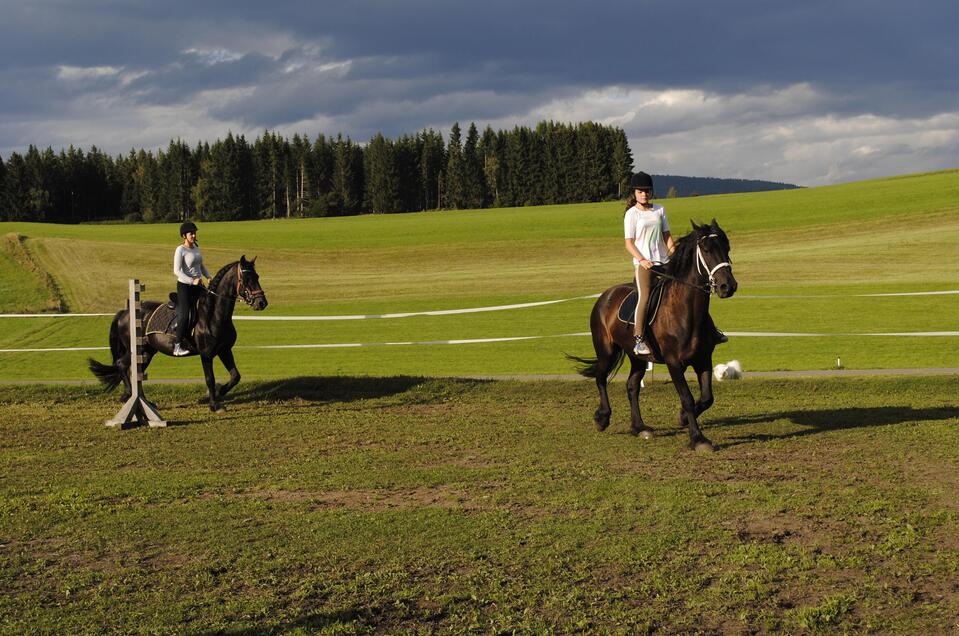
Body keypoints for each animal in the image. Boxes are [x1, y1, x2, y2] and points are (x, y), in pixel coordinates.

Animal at [88, 255, 268, 412]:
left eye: (257, 276)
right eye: (247, 279)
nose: (262, 303)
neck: (213, 314)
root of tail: (125, 312)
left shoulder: (224, 350)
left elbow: (235, 376)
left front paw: (219, 391)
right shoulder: (206, 354)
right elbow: (210, 378)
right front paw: (215, 405)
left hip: (147, 353)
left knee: (134, 371)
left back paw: (144, 401)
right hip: (137, 350)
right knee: (122, 365)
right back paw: (129, 396)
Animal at [568, 221, 744, 450]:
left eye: (727, 248)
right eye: (706, 250)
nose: (727, 286)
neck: (686, 312)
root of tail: (605, 296)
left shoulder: (703, 359)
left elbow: (707, 398)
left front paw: (683, 418)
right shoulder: (673, 363)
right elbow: (687, 398)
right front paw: (698, 439)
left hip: (637, 358)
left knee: (632, 386)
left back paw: (639, 427)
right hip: (606, 350)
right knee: (601, 378)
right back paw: (602, 418)